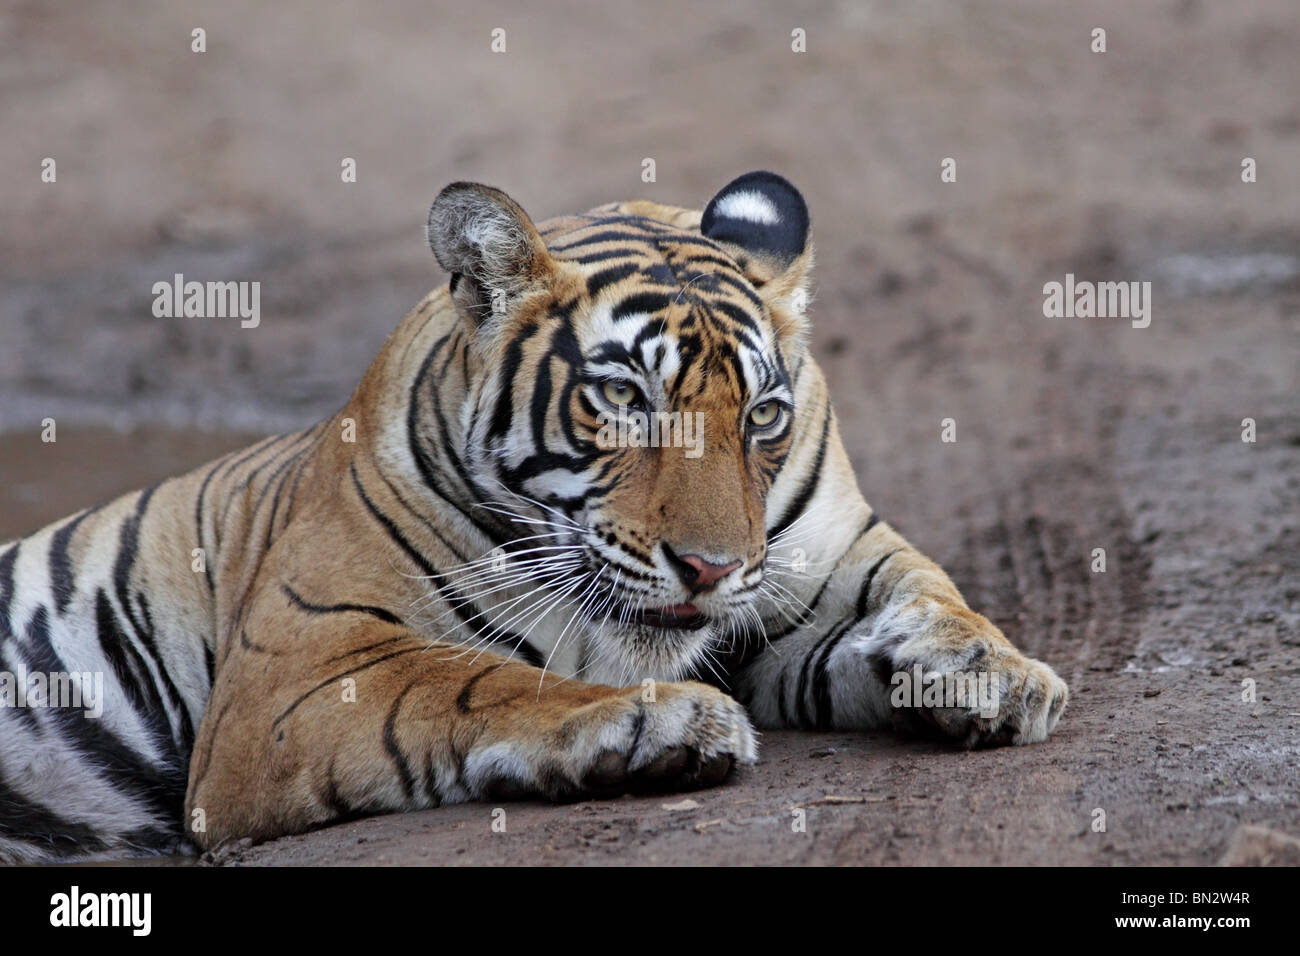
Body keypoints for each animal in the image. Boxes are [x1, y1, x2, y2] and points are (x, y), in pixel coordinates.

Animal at [0, 171, 1068, 862]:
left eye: (763, 415)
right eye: (627, 398)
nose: (713, 570)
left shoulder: (820, 567)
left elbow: (925, 589)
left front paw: (994, 671)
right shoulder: (299, 674)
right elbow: (472, 680)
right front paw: (653, 721)